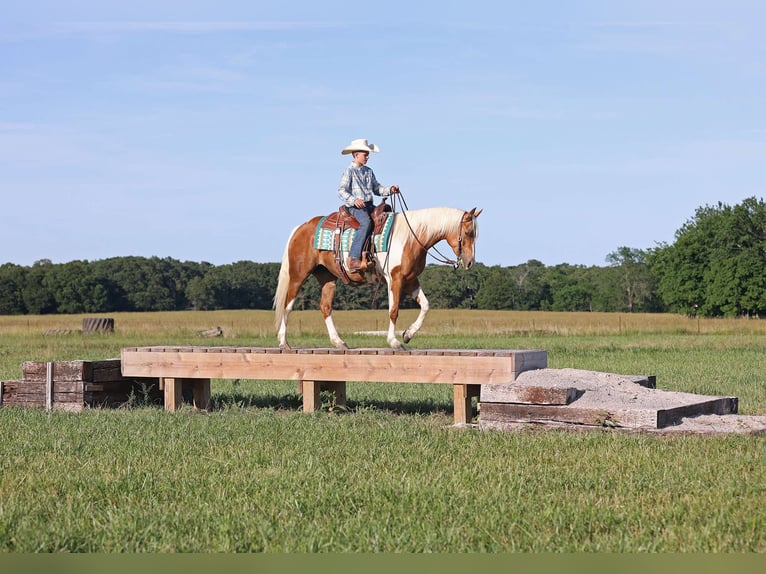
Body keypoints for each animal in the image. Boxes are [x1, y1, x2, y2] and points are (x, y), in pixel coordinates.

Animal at [274, 205, 482, 350]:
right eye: (469, 232)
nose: (470, 262)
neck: (411, 237)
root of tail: (300, 228)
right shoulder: (395, 279)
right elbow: (393, 310)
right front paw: (394, 341)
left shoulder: (410, 279)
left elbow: (425, 305)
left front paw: (408, 334)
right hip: (298, 275)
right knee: (287, 305)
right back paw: (284, 342)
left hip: (327, 277)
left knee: (325, 307)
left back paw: (339, 342)